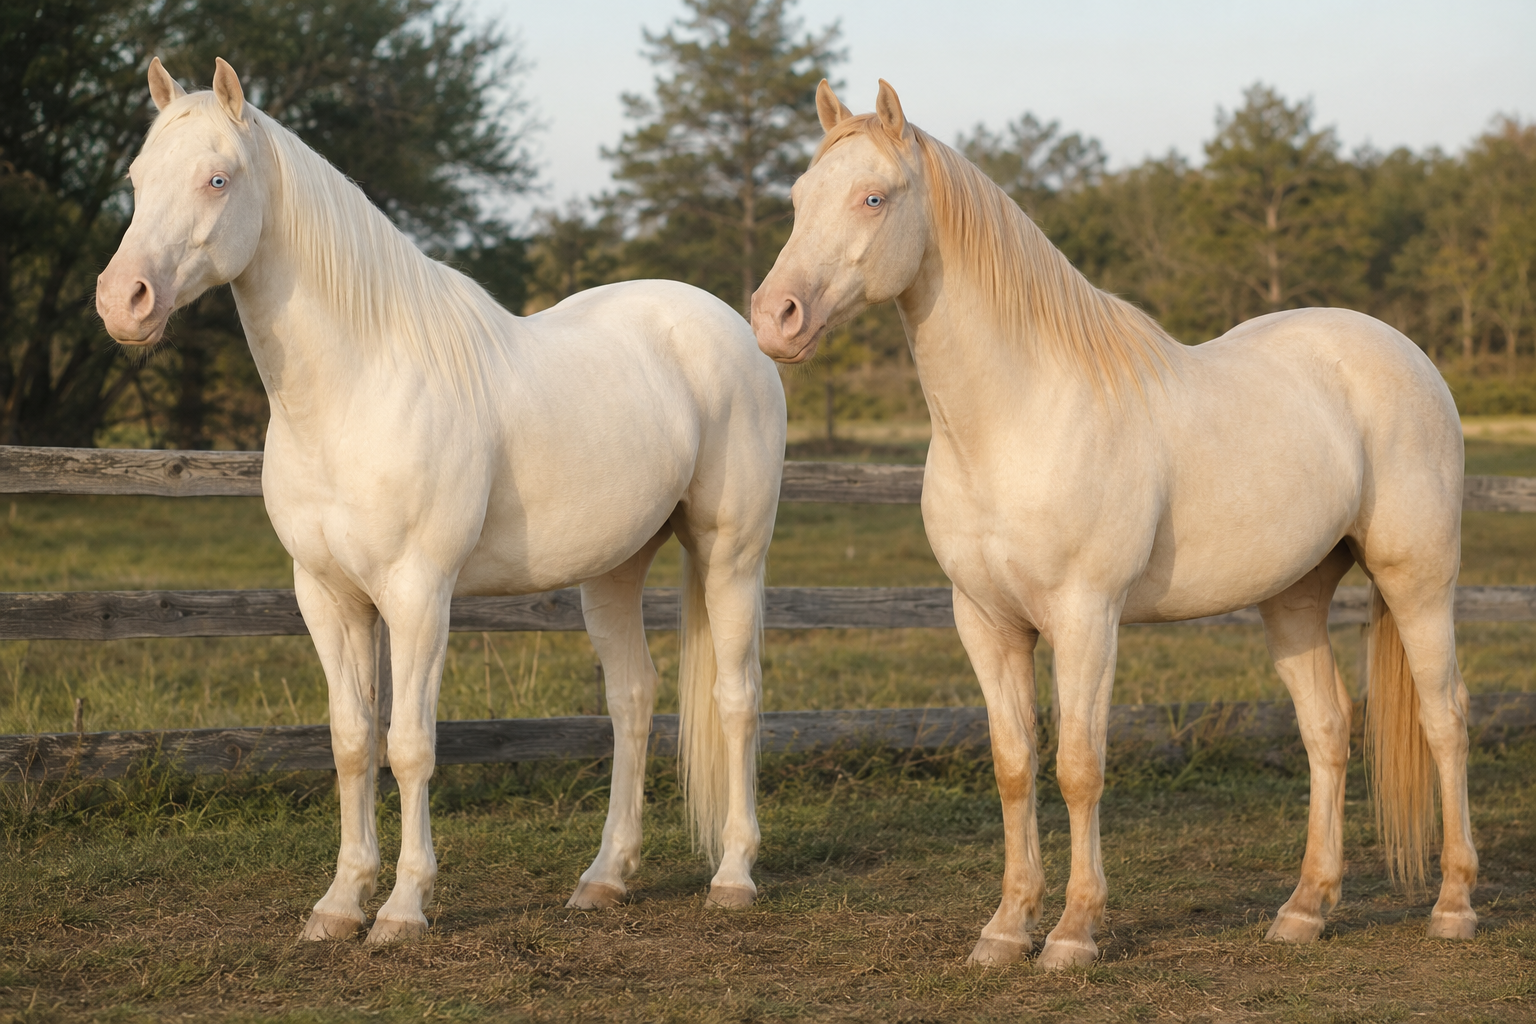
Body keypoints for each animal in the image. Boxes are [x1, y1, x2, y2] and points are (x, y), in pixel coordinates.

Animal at [96, 59, 786, 943]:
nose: (124, 301)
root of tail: (733, 328)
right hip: (615, 569)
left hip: (731, 552)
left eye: (219, 179)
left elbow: (411, 744)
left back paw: (733, 875)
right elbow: (352, 740)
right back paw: (604, 877)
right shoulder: (327, 596)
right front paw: (339, 904)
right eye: (136, 178)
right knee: (632, 701)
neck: (355, 390)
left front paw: (402, 908)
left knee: (738, 699)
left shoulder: (419, 594)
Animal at [752, 80, 1477, 970]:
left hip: (1418, 579)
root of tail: (1407, 355)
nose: (775, 318)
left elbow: (1079, 767)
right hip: (1295, 597)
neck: (1017, 417)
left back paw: (1453, 905)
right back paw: (1305, 909)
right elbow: (1015, 765)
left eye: (874, 198)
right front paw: (1005, 929)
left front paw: (1073, 932)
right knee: (1328, 730)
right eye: (797, 199)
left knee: (1444, 719)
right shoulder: (985, 621)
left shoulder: (1085, 617)